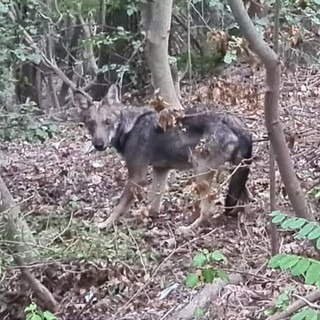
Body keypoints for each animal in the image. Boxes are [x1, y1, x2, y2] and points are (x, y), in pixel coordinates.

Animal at [75, 84, 252, 235]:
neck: (129, 128)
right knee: (244, 199)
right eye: (91, 124)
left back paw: (188, 229)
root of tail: (235, 121)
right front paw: (142, 218)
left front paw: (105, 224)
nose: (98, 145)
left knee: (209, 210)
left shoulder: (136, 177)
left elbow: (118, 207)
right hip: (234, 173)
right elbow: (153, 203)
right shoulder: (160, 170)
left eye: (107, 122)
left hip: (200, 174)